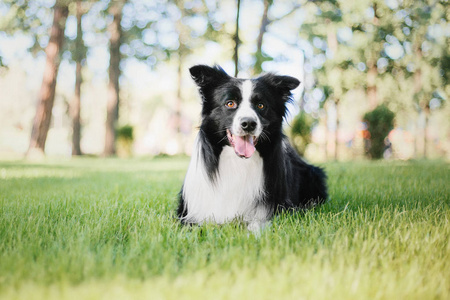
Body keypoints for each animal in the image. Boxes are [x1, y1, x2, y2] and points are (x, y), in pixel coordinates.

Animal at [176, 65, 326, 233]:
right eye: (230, 103)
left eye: (261, 105)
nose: (248, 123)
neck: (238, 162)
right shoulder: (190, 213)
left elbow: (256, 224)